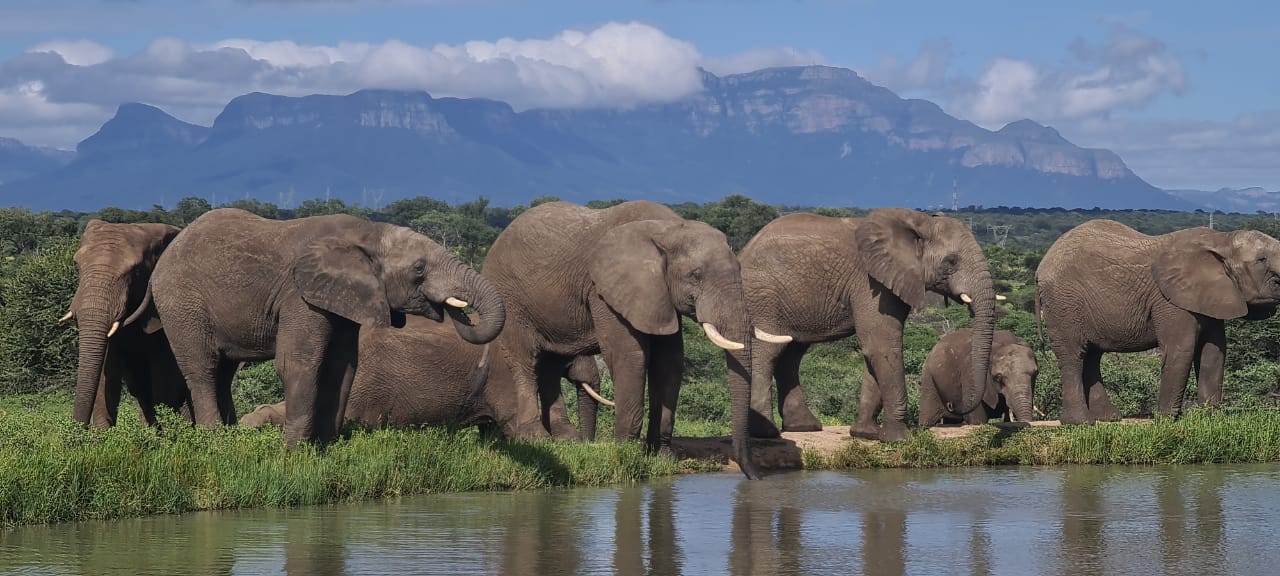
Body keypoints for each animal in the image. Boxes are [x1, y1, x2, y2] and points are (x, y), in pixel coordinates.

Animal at [63, 219, 191, 428]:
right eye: (76, 266)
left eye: (136, 272)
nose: (78, 430)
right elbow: (106, 373)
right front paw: (104, 435)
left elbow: (165, 377)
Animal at [150, 208, 505, 446]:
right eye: (419, 268)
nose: (455, 310)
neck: (367, 233)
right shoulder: (299, 295)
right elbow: (299, 363)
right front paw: (294, 455)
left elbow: (343, 367)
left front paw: (327, 448)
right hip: (181, 306)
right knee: (203, 369)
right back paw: (215, 442)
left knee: (223, 373)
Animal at [482, 200, 762, 479]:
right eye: (695, 275)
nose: (755, 477)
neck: (667, 229)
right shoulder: (603, 291)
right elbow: (629, 355)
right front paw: (626, 454)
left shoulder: (660, 295)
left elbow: (669, 361)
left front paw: (661, 457)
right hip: (510, 300)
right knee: (526, 362)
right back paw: (536, 439)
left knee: (550, 365)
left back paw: (567, 440)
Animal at [740, 208, 998, 442]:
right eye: (951, 262)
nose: (953, 407)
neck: (919, 221)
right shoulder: (870, 284)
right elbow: (881, 345)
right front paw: (899, 439)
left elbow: (874, 351)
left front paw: (867, 434)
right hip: (763, 297)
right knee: (769, 352)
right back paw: (766, 434)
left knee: (791, 354)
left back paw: (803, 427)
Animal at [1035, 219, 1280, 424]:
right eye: (1262, 260)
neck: (1221, 240)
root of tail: (1041, 267)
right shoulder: (1169, 300)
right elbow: (1182, 349)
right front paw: (1166, 420)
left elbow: (1213, 352)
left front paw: (1209, 419)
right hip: (1064, 303)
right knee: (1074, 355)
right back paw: (1080, 423)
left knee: (1093, 356)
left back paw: (1108, 418)